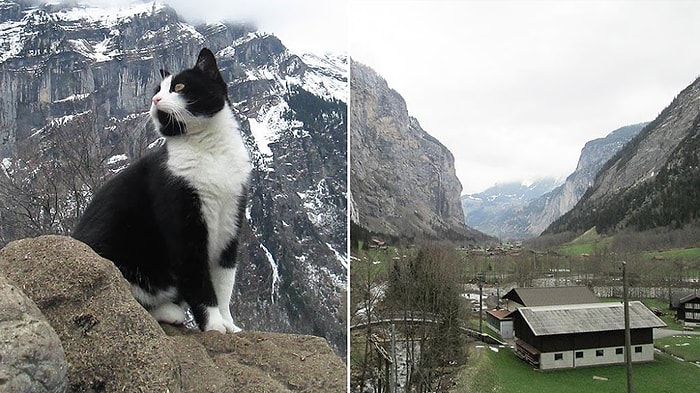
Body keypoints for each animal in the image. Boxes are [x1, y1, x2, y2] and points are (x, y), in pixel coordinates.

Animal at [71, 47, 250, 332]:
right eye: (157, 89)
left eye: (178, 86)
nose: (155, 99)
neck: (209, 150)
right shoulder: (182, 221)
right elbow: (198, 280)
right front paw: (213, 325)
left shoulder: (231, 219)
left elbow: (224, 281)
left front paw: (229, 325)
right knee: (124, 298)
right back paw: (170, 311)